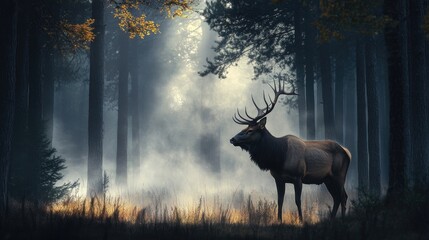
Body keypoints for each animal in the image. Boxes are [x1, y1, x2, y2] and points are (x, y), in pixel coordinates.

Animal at [229, 79, 350, 221]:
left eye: (250, 130)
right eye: (244, 129)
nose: (232, 139)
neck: (278, 157)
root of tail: (347, 152)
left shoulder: (298, 177)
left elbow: (298, 201)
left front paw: (301, 220)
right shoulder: (278, 178)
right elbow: (280, 200)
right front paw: (279, 220)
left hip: (339, 175)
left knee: (343, 196)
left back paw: (342, 218)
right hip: (328, 179)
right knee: (337, 198)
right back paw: (332, 219)